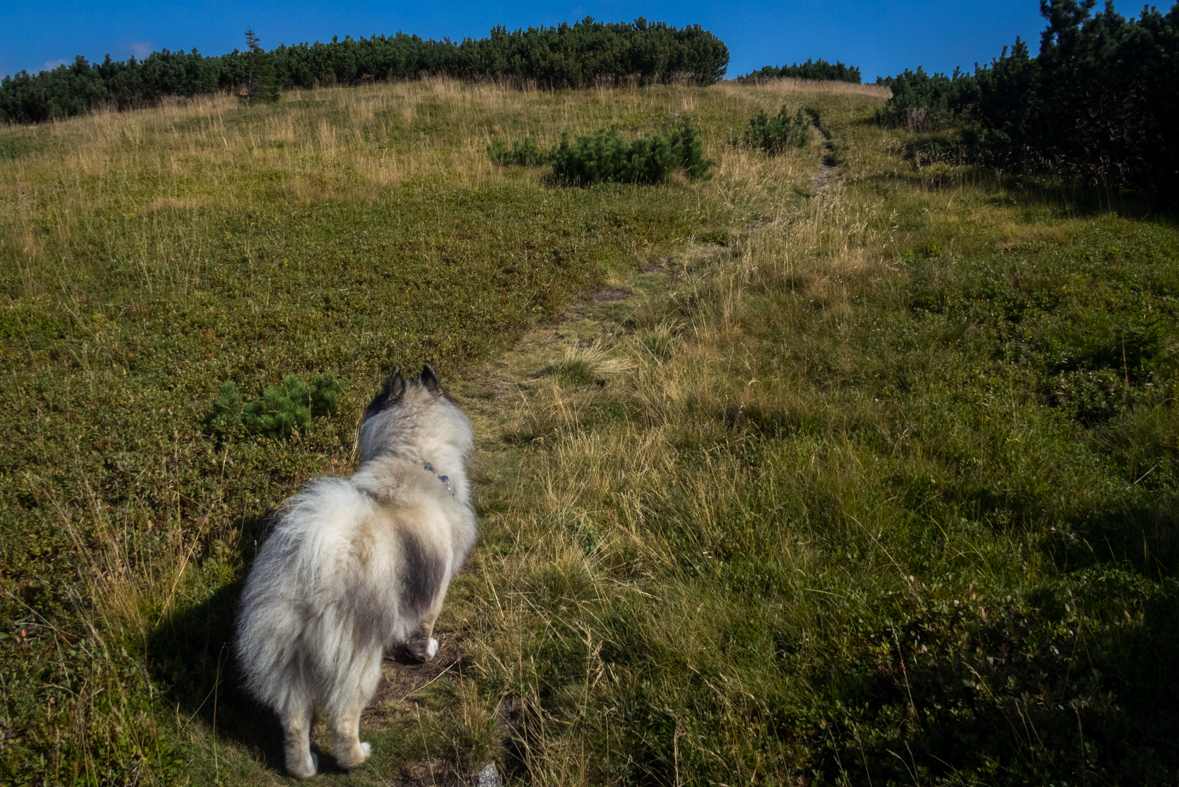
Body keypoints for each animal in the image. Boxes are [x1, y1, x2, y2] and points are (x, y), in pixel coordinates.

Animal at [236, 365, 476, 777]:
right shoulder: (435, 589)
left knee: (294, 721)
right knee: (342, 719)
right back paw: (357, 757)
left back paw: (304, 768)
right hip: (357, 661)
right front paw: (425, 653)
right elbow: (423, 631)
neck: (415, 457)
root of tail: (312, 566)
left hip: (288, 659)